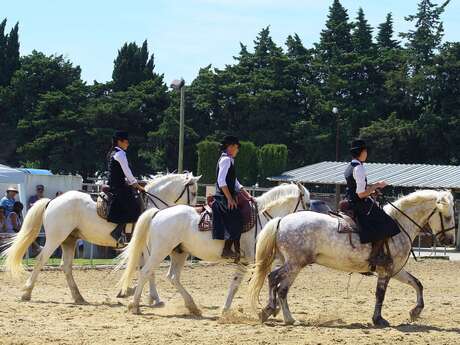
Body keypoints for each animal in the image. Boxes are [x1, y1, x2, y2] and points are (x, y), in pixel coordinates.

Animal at [2, 173, 199, 302]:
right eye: (195, 192)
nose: (196, 211)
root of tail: (52, 201)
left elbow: (142, 267)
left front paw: (129, 291)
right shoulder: (147, 246)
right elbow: (148, 270)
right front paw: (153, 297)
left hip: (69, 240)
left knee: (66, 267)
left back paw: (78, 297)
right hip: (56, 238)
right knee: (42, 259)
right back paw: (27, 293)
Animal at [116, 183, 310, 314]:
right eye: (307, 203)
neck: (263, 217)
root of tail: (158, 213)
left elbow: (243, 282)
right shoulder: (251, 260)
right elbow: (244, 283)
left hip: (179, 253)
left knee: (172, 277)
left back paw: (192, 306)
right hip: (159, 252)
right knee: (146, 272)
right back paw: (135, 305)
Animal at [248, 189, 456, 326]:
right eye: (447, 217)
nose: (450, 240)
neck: (398, 225)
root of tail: (282, 220)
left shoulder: (396, 270)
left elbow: (417, 283)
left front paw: (415, 311)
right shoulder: (387, 271)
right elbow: (381, 294)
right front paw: (378, 319)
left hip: (294, 265)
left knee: (281, 288)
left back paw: (288, 318)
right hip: (294, 264)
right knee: (273, 278)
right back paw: (269, 309)